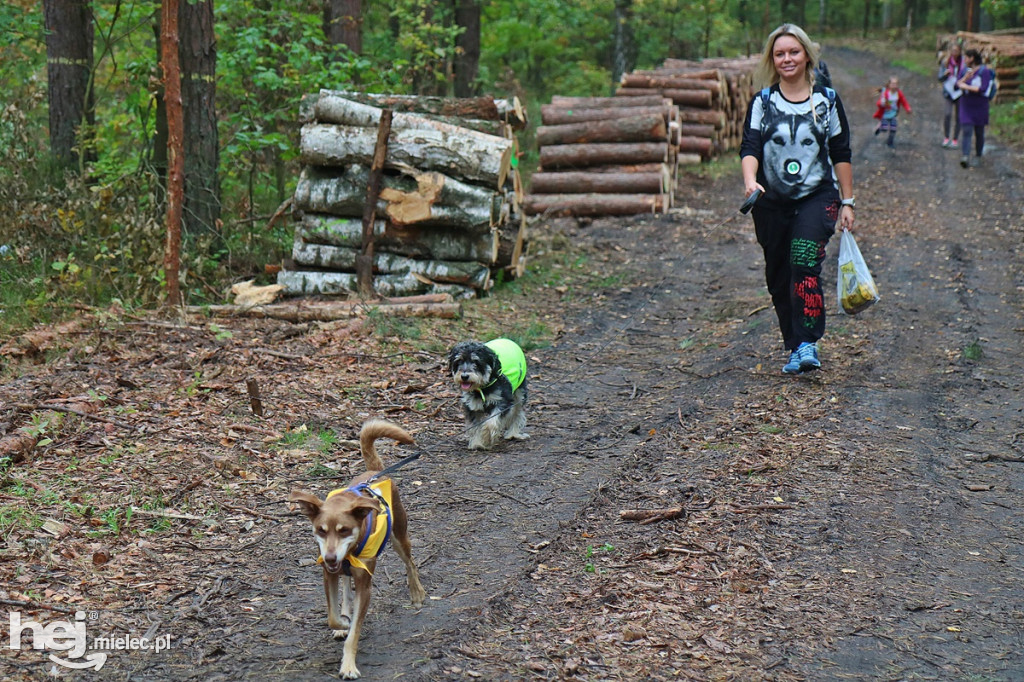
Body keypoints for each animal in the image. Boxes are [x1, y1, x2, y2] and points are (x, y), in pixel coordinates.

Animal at [290, 417, 425, 675]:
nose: (331, 557)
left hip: (399, 537)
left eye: (344, 530)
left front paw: (349, 665)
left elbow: (355, 632)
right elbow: (332, 614)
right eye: (321, 530)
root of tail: (375, 472)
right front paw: (342, 621)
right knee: (345, 584)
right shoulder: (328, 574)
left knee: (410, 561)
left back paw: (416, 591)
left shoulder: (365, 584)